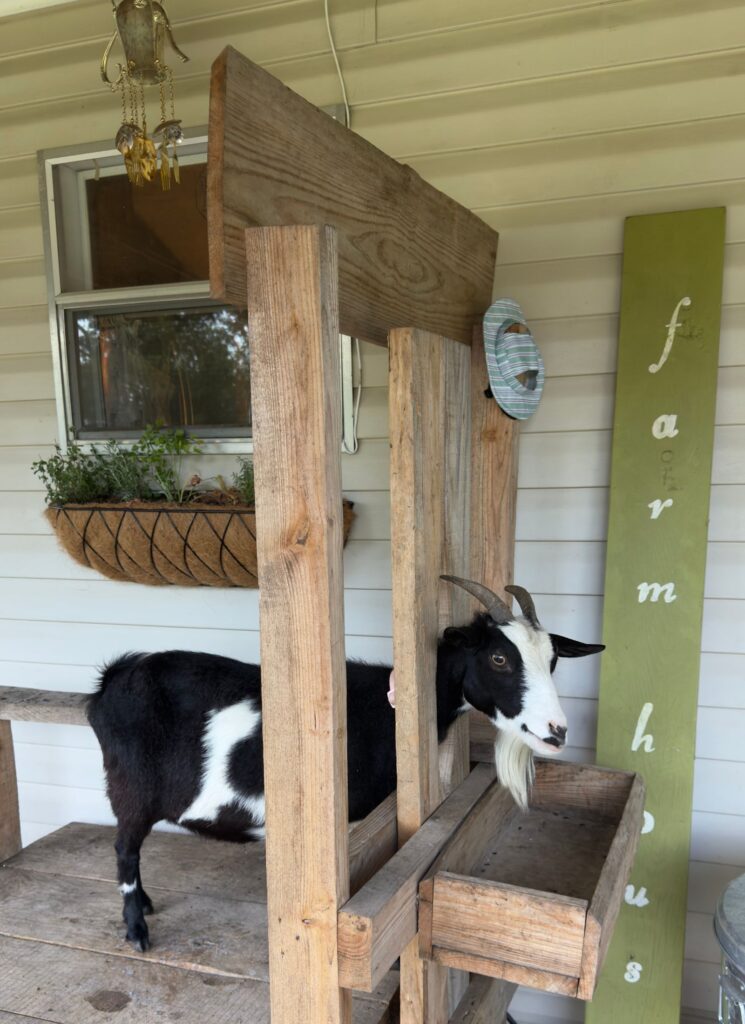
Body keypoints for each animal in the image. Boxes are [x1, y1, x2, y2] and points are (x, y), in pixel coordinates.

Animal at [86, 576, 604, 952]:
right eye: (498, 657)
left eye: (553, 660)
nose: (558, 731)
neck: (389, 705)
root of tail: (112, 679)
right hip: (129, 790)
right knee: (124, 849)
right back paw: (137, 930)